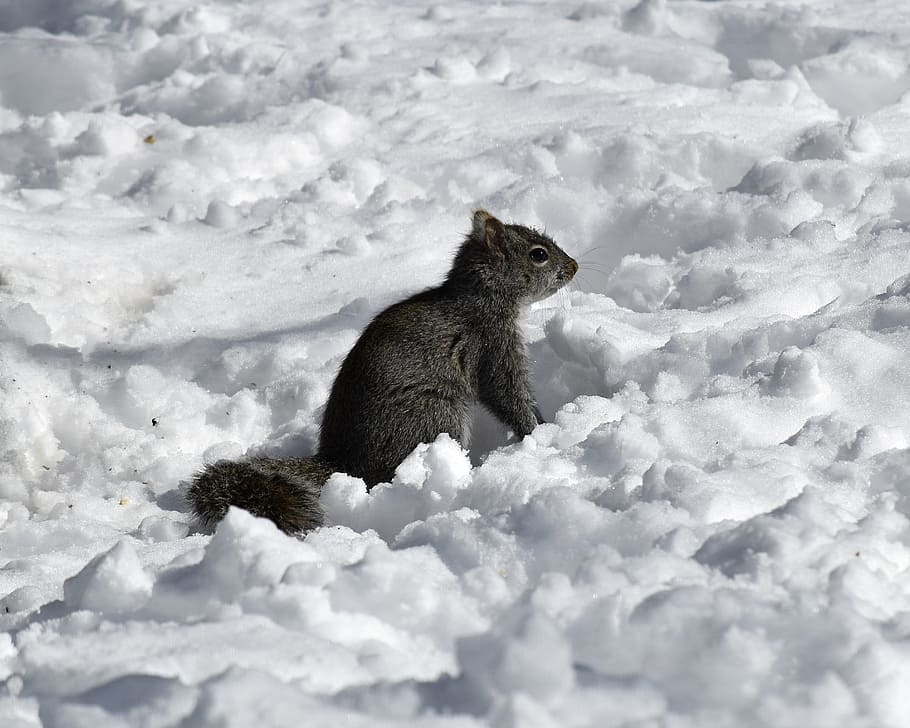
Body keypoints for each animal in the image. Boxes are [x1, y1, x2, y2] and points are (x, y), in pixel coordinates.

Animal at [186, 210, 578, 534]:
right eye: (538, 254)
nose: (574, 266)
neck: (480, 296)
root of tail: (344, 462)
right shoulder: (491, 344)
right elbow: (506, 394)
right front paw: (538, 434)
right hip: (434, 414)